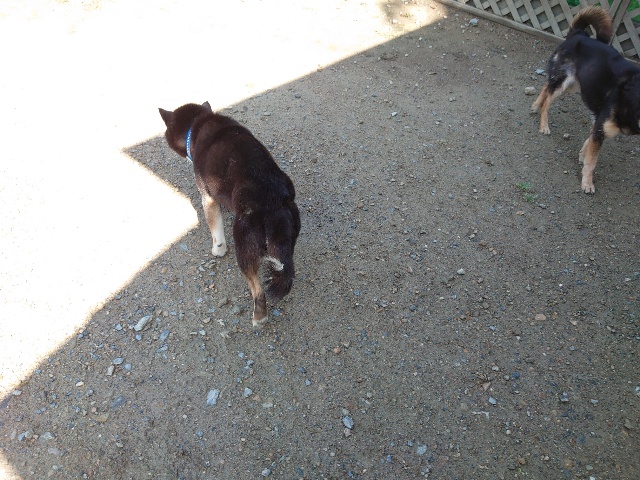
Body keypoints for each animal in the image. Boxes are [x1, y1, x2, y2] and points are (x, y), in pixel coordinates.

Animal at [159, 102, 301, 326]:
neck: (198, 122)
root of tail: (272, 201)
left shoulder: (207, 197)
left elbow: (215, 230)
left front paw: (218, 249)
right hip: (286, 240)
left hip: (245, 249)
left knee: (258, 290)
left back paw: (259, 317)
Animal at [531, 6, 640, 193]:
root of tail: (579, 34)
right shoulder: (601, 127)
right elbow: (592, 161)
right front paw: (587, 183)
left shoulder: (599, 123)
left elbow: (589, 142)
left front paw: (582, 155)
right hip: (565, 81)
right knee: (548, 100)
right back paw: (543, 124)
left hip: (573, 83)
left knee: (546, 86)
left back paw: (535, 105)